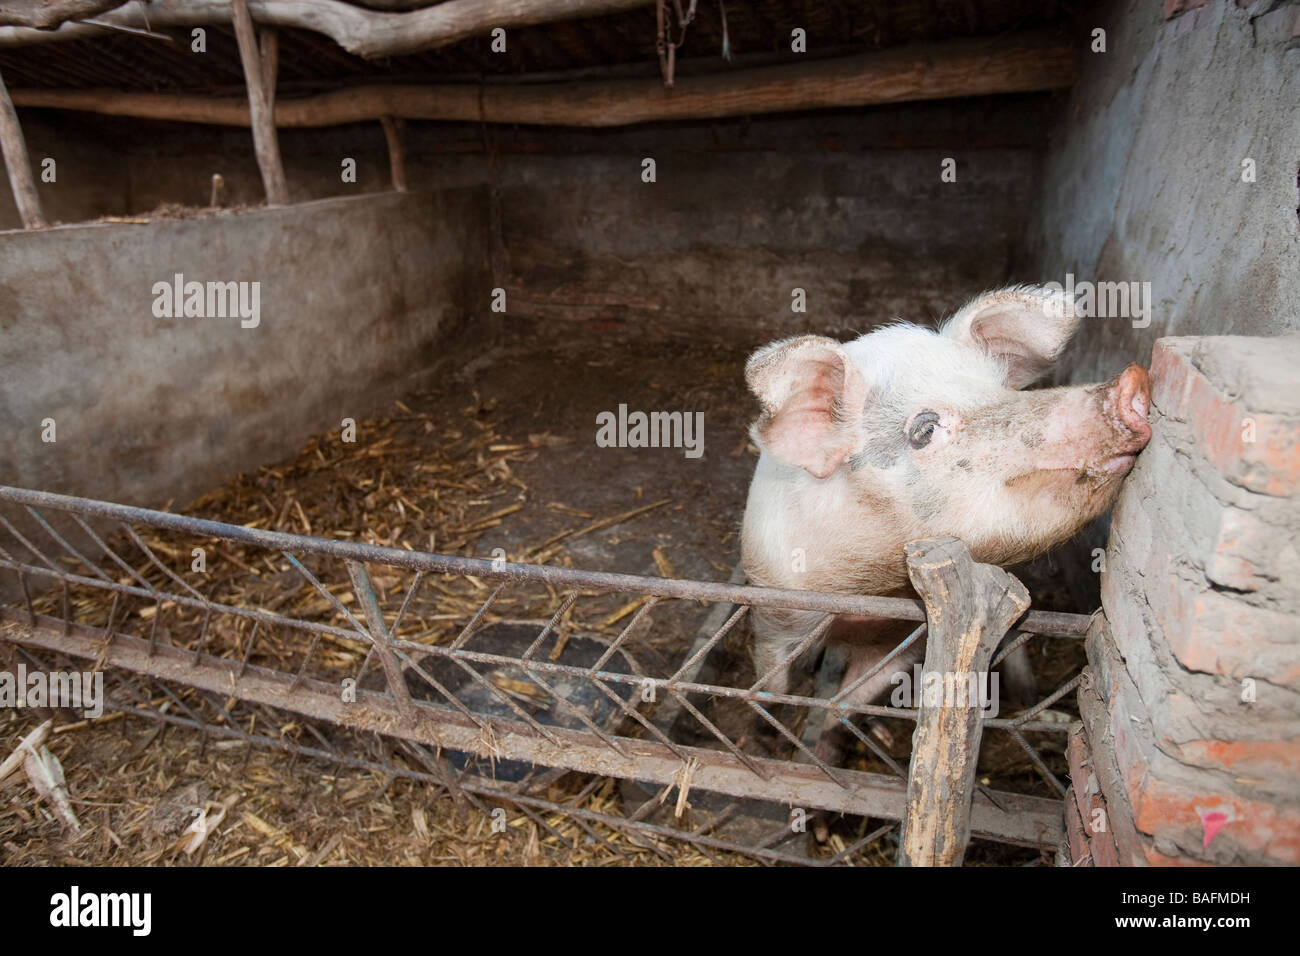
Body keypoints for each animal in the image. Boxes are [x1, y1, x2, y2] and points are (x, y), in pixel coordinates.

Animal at [738, 286, 1154, 785]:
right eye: (925, 428)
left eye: (1000, 390)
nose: (1133, 382)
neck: (869, 594)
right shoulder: (777, 608)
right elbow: (772, 688)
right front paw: (760, 749)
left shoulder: (907, 638)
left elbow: (853, 702)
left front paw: (833, 751)